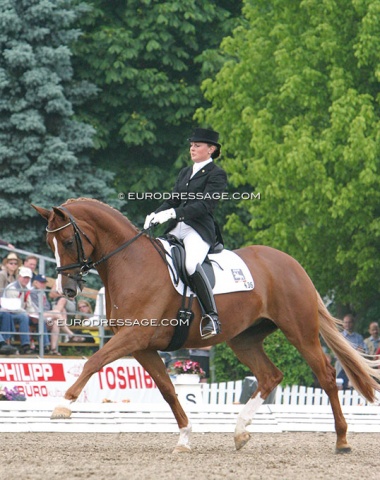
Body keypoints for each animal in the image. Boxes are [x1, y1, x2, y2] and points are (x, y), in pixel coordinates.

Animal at [33, 197, 380, 452]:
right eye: (49, 243)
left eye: (67, 240)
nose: (66, 290)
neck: (130, 263)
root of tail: (293, 263)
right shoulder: (143, 347)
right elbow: (168, 390)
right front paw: (185, 438)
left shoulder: (134, 336)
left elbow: (93, 361)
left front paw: (62, 406)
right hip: (244, 339)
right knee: (270, 375)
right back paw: (240, 432)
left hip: (300, 332)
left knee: (326, 376)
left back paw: (342, 440)